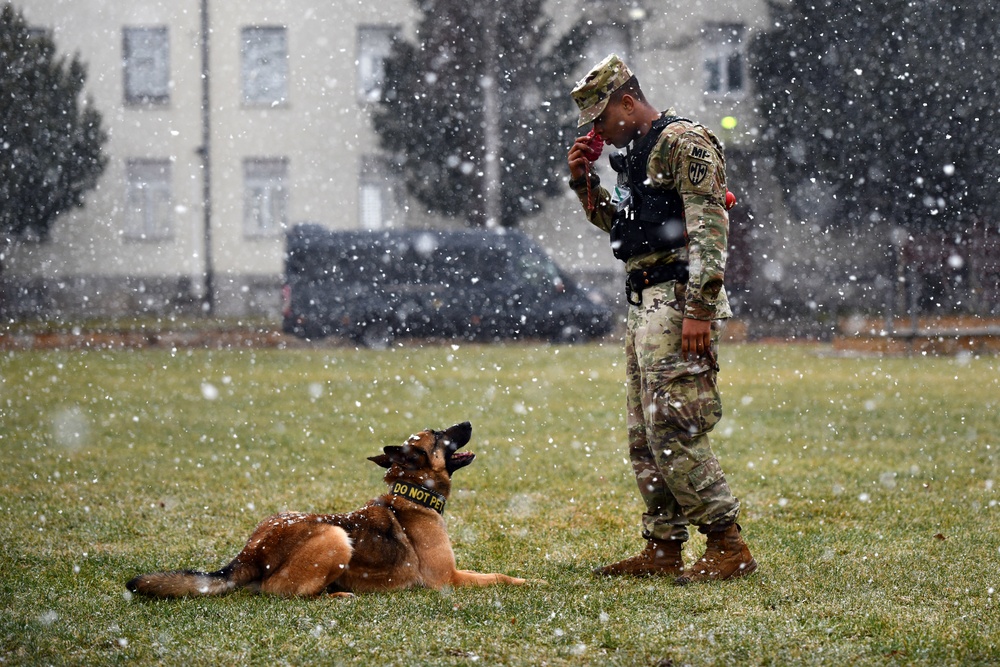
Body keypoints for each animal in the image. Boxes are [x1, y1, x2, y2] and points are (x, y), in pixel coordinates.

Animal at [129, 422, 528, 600]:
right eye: (441, 434)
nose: (469, 423)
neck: (414, 495)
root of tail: (251, 552)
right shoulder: (448, 578)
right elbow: (498, 576)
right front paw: (530, 583)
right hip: (335, 537)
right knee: (278, 590)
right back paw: (337, 596)